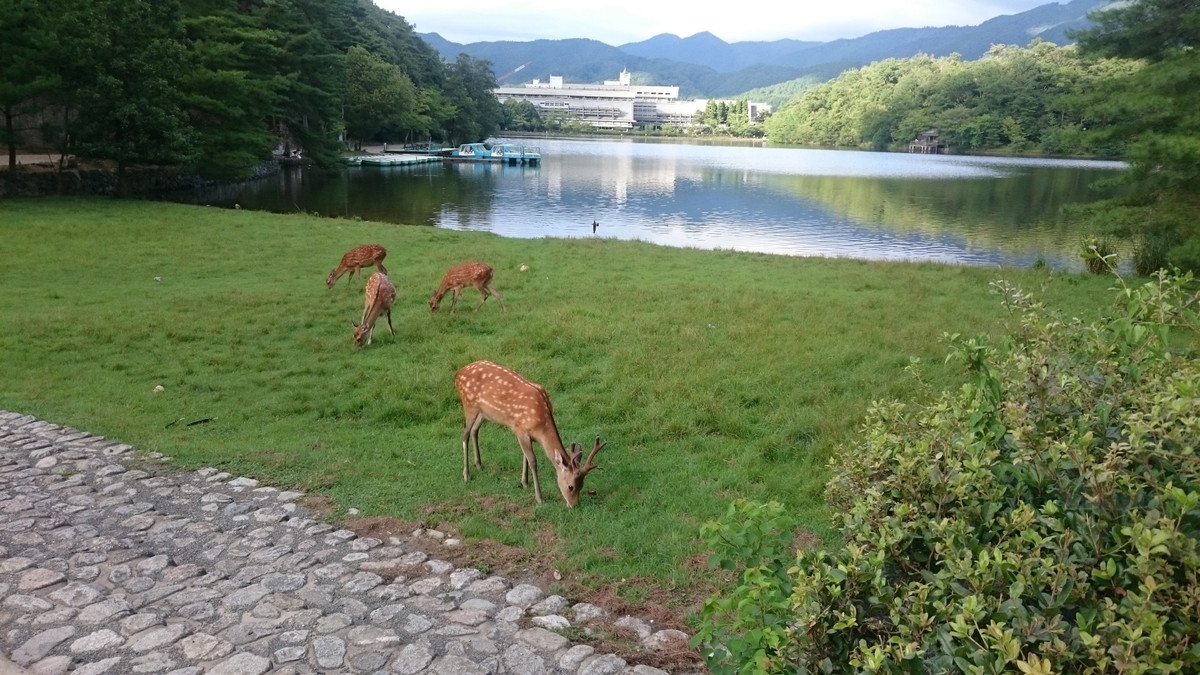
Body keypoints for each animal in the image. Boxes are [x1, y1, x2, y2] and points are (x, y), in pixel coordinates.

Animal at [453, 357, 604, 504]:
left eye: (582, 485)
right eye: (571, 486)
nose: (574, 505)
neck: (541, 424)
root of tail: (458, 373)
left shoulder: (526, 434)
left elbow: (525, 456)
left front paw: (524, 483)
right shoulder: (520, 430)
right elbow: (532, 460)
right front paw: (539, 497)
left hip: (484, 413)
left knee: (475, 430)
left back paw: (479, 465)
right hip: (469, 405)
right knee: (465, 433)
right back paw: (466, 474)